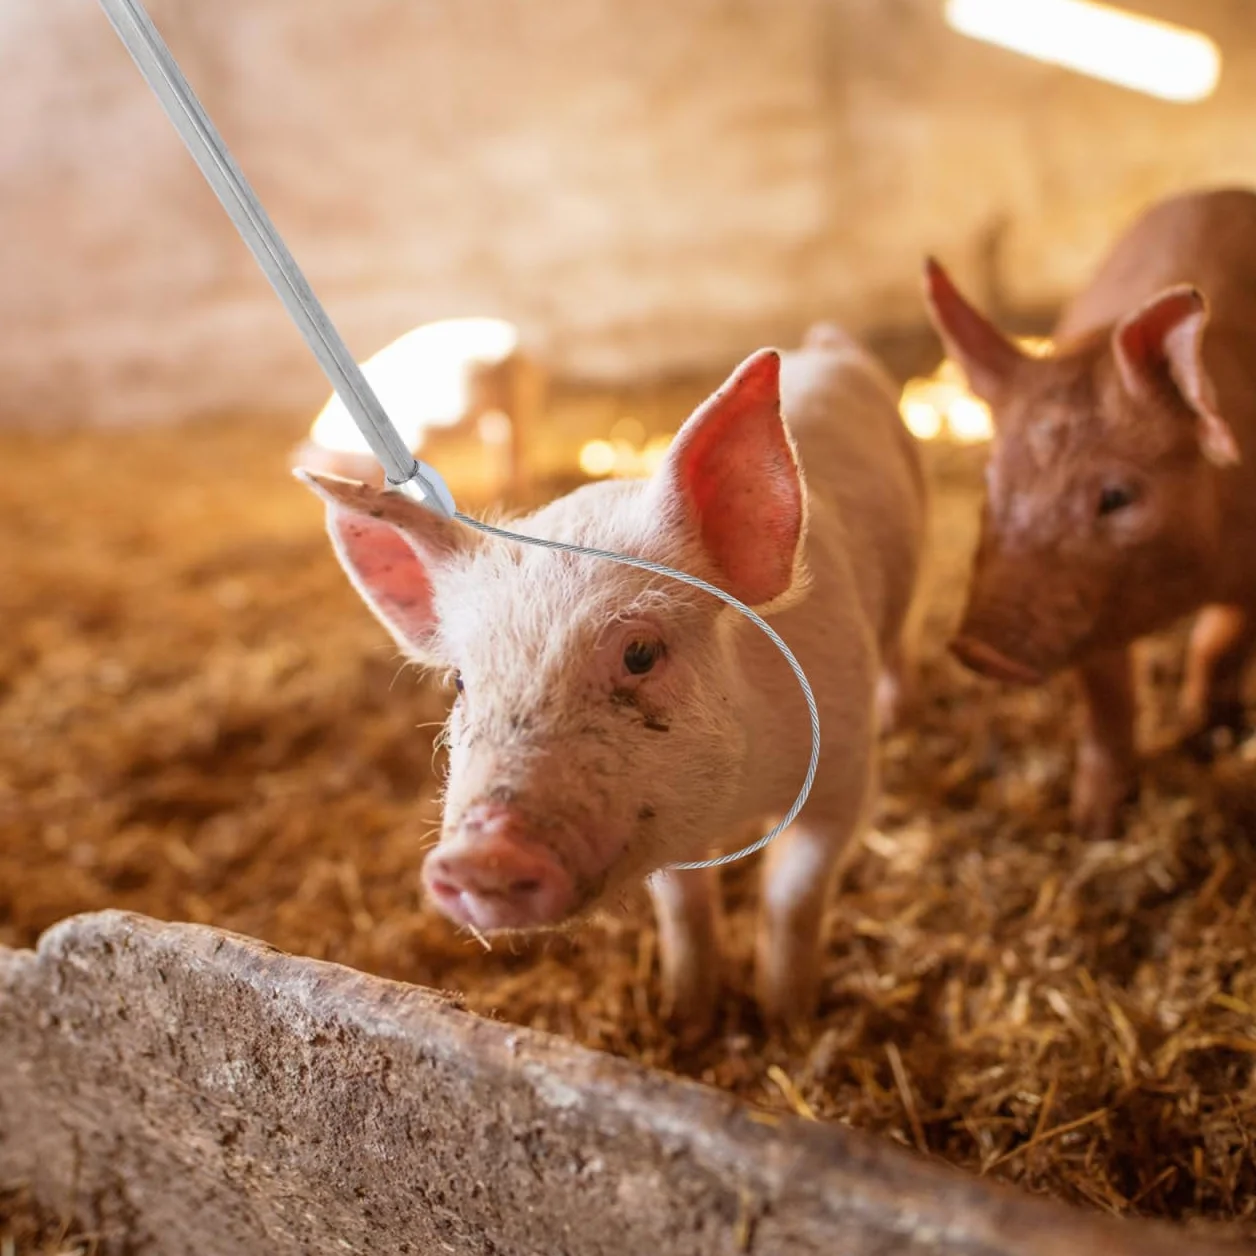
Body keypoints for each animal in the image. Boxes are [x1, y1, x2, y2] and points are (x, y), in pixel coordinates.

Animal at [296, 328, 926, 1038]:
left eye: (640, 653)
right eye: (461, 680)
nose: (482, 855)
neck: (743, 800)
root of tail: (827, 343)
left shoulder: (843, 772)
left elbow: (792, 898)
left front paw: (788, 1023)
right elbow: (684, 911)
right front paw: (688, 1019)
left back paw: (902, 714)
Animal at [924, 187, 1256, 842]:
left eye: (1117, 496)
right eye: (991, 481)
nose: (977, 648)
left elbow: (1224, 638)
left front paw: (1208, 735)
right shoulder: (1092, 607)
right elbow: (1107, 702)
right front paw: (1094, 826)